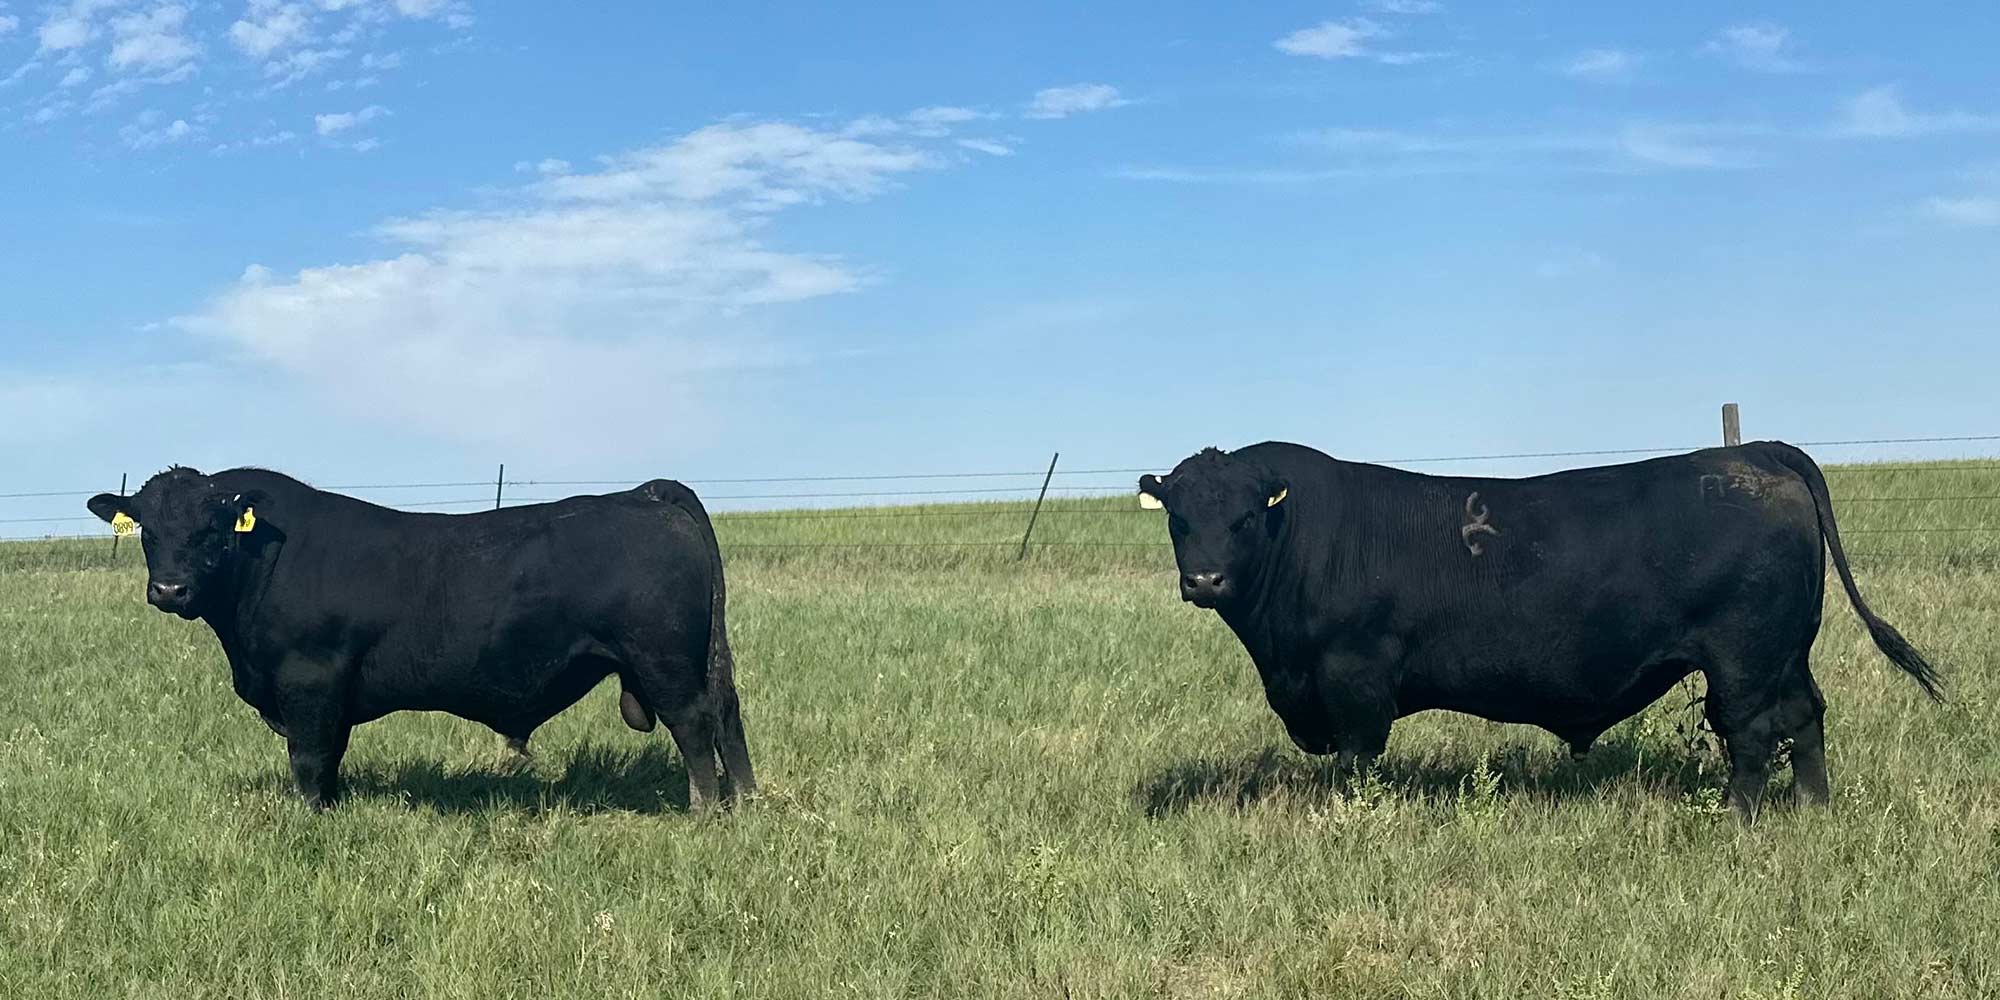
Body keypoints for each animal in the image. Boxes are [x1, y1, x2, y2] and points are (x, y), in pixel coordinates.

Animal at [88, 467, 755, 813]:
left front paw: (308, 818)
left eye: (210, 529)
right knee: (727, 715)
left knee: (695, 727)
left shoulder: (309, 680)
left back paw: (703, 812)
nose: (169, 589)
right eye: (148, 528)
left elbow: (308, 757)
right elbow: (330, 757)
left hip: (664, 661)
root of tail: (643, 494)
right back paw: (744, 802)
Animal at [1137, 441, 1941, 823]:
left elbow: (1359, 762)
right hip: (1785, 649)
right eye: (1179, 518)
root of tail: (1753, 454)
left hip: (1741, 655)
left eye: (1244, 517)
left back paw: (1734, 822)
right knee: (1805, 717)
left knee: (1750, 732)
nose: (1204, 581)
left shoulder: (1353, 677)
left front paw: (1348, 816)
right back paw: (1811, 808)